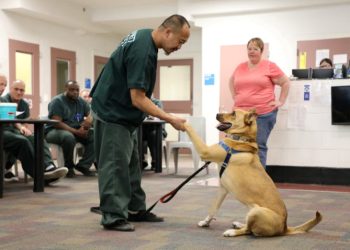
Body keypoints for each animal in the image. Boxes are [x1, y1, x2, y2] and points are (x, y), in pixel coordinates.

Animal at [185, 109, 322, 236]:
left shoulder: (205, 151)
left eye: (233, 113)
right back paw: (239, 224)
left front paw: (182, 121)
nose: (217, 114)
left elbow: (191, 130)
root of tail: (284, 227)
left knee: (248, 231)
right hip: (251, 210)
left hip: (256, 211)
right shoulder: (223, 188)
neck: (242, 139)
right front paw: (206, 222)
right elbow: (213, 208)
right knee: (249, 227)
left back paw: (232, 232)